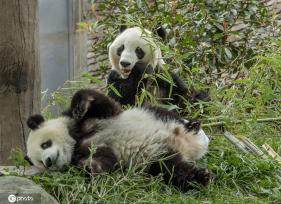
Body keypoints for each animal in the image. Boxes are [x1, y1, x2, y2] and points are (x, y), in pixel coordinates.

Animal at [25, 89, 210, 191]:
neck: (76, 142)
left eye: (45, 144)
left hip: (154, 114)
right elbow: (103, 162)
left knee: (169, 114)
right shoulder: (95, 151)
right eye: (40, 163)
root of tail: (188, 147)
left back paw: (193, 126)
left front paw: (81, 106)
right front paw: (89, 169)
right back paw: (202, 176)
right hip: (158, 158)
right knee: (173, 170)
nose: (48, 161)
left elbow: (102, 103)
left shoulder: (96, 119)